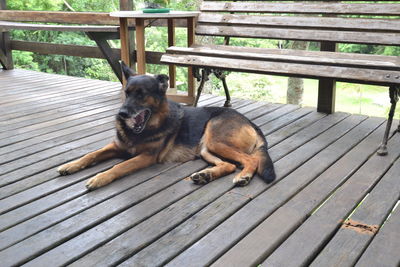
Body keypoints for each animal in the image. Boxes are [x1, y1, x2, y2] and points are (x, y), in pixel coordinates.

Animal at [57, 62, 276, 191]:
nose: (122, 114)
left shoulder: (146, 157)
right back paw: (205, 175)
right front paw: (71, 165)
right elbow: (91, 155)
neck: (142, 130)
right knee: (229, 165)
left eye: (142, 94)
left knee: (251, 160)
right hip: (206, 148)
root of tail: (250, 122)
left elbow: (120, 166)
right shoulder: (115, 146)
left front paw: (100, 178)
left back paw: (244, 175)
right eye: (127, 93)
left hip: (216, 140)